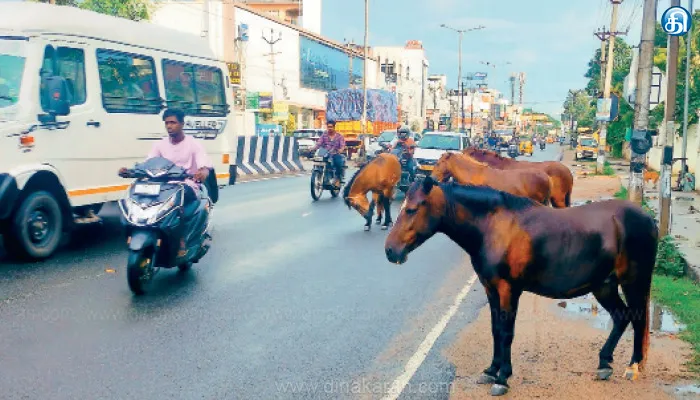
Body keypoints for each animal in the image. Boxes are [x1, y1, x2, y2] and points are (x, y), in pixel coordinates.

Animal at [386, 178, 660, 396]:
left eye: (411, 209)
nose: (390, 251)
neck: (494, 226)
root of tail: (648, 218)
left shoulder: (508, 290)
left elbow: (507, 333)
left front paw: (502, 378)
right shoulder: (491, 289)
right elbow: (496, 330)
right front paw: (491, 370)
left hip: (633, 281)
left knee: (637, 319)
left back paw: (632, 366)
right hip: (604, 285)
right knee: (621, 317)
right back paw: (604, 364)